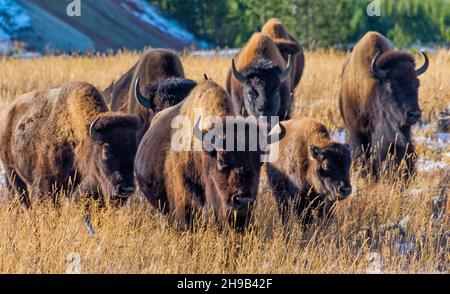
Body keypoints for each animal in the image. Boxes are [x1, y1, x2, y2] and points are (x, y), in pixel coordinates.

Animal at [0, 81, 144, 208]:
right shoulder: (47, 183)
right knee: (23, 198)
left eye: (135, 152)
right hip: (12, 172)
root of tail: (6, 114)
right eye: (107, 151)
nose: (127, 189)